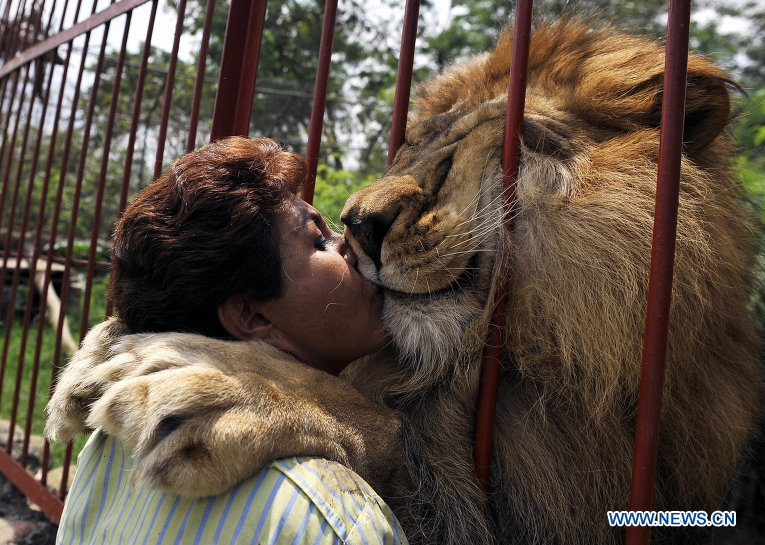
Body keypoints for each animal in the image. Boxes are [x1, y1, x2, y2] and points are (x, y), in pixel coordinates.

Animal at [46, 19, 760, 544]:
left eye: (485, 146)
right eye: (413, 147)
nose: (357, 226)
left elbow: (385, 426)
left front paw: (226, 387)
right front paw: (97, 355)